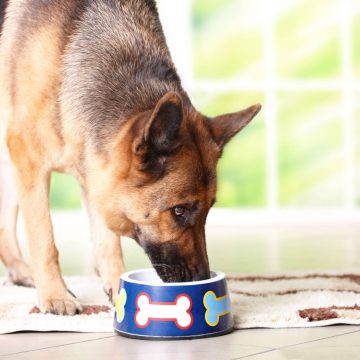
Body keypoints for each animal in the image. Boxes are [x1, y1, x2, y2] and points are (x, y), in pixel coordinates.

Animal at [0, 0, 260, 316]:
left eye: (209, 209)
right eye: (179, 210)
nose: (200, 278)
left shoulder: (95, 171)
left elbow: (108, 243)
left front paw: (117, 288)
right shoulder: (31, 161)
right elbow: (44, 239)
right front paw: (54, 295)